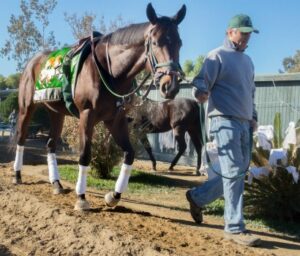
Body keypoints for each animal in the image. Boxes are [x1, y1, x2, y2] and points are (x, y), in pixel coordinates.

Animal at [12, 2, 186, 210]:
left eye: (179, 43)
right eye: (155, 43)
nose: (171, 85)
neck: (110, 71)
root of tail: (32, 62)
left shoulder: (115, 119)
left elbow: (129, 154)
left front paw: (114, 195)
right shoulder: (87, 115)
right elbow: (85, 155)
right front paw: (81, 198)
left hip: (56, 113)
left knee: (51, 145)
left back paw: (56, 184)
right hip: (26, 107)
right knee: (21, 138)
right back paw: (17, 175)